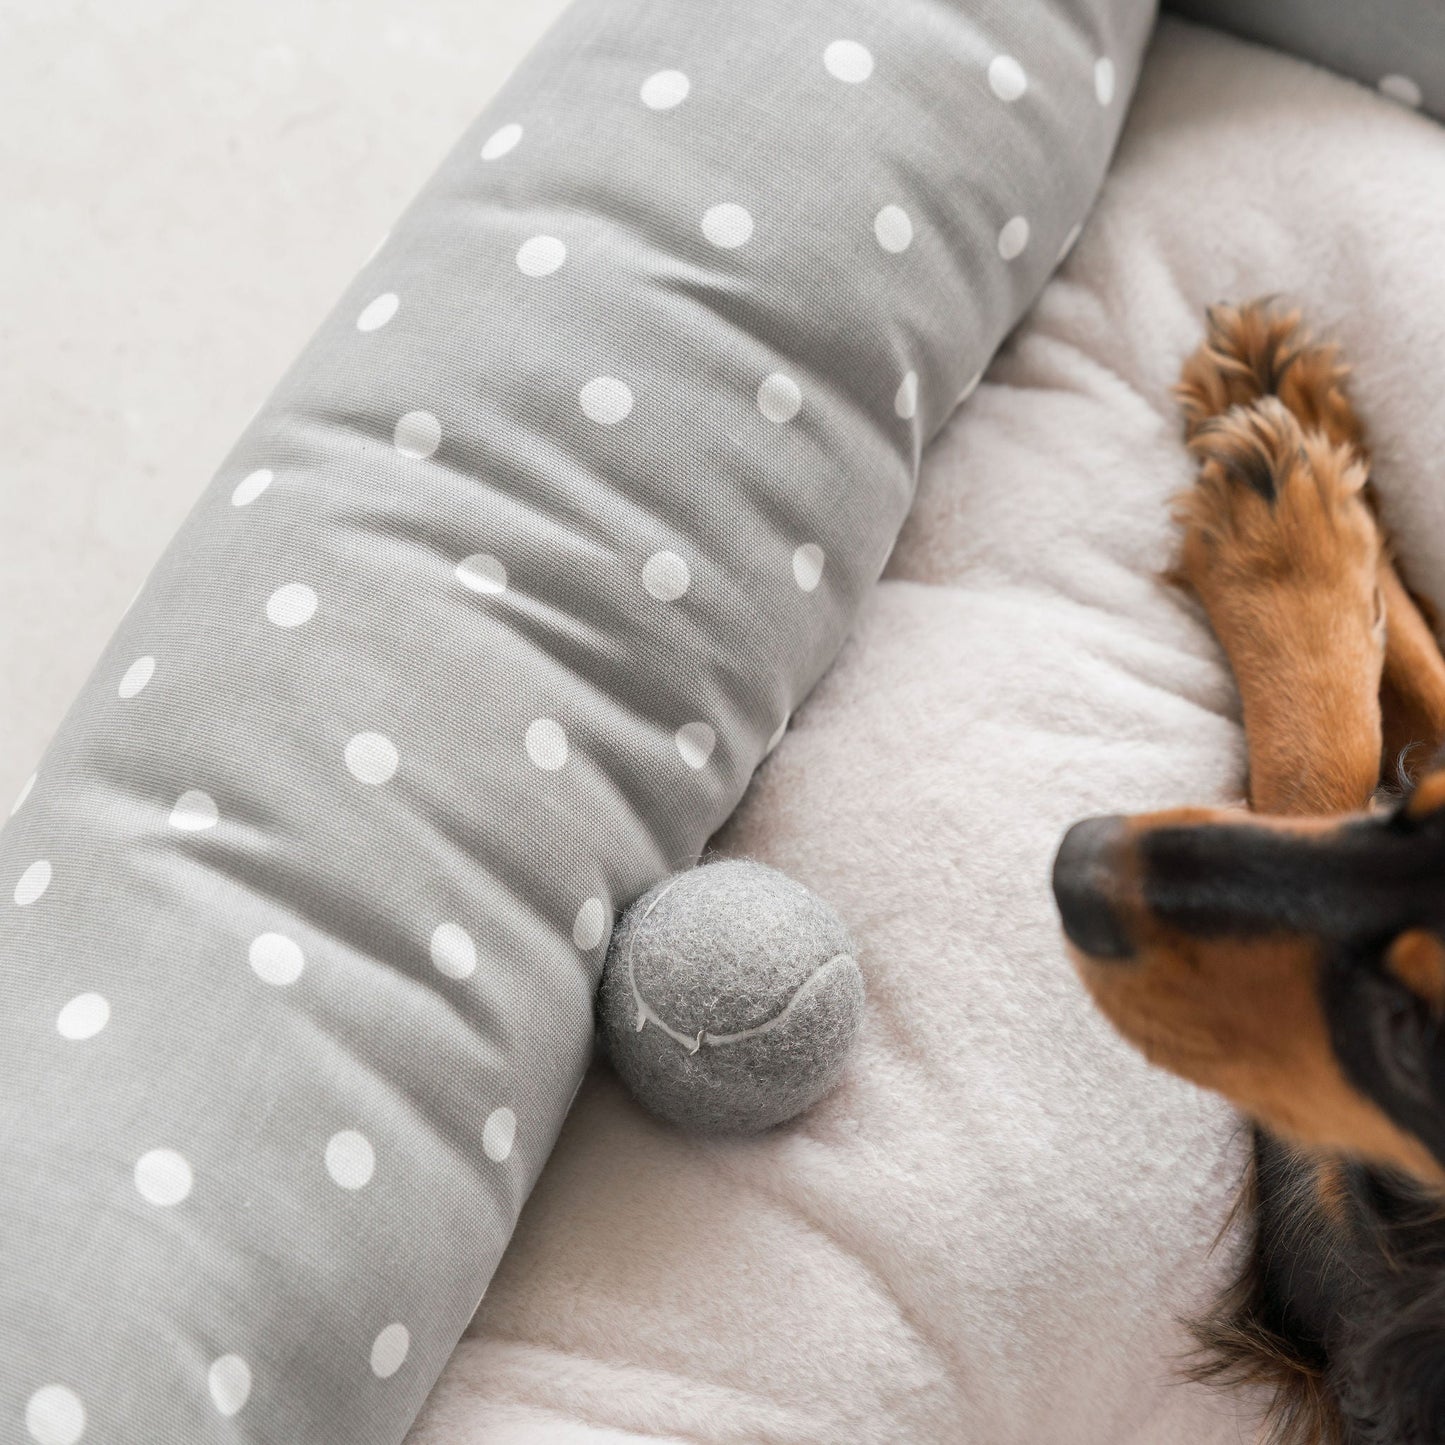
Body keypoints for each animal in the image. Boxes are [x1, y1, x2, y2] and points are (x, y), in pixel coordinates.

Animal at [1057, 299, 1445, 1439]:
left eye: (1408, 1034)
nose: (1074, 860)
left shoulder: (1341, 1249)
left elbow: (1322, 770)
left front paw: (1282, 538)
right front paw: (1301, 425)